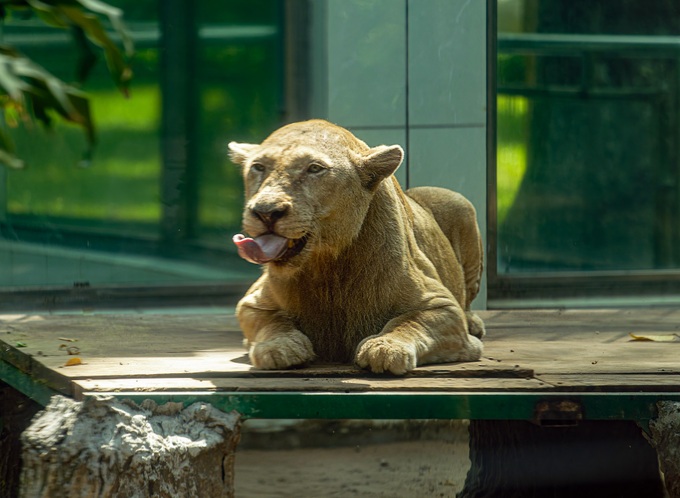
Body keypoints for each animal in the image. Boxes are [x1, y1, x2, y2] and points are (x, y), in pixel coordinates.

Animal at [229, 119, 484, 375]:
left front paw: (385, 347)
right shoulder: (252, 302)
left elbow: (410, 322)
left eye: (315, 168)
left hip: (459, 203)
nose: (265, 211)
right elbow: (272, 322)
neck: (326, 265)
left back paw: (473, 323)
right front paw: (278, 347)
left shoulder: (443, 306)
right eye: (258, 167)